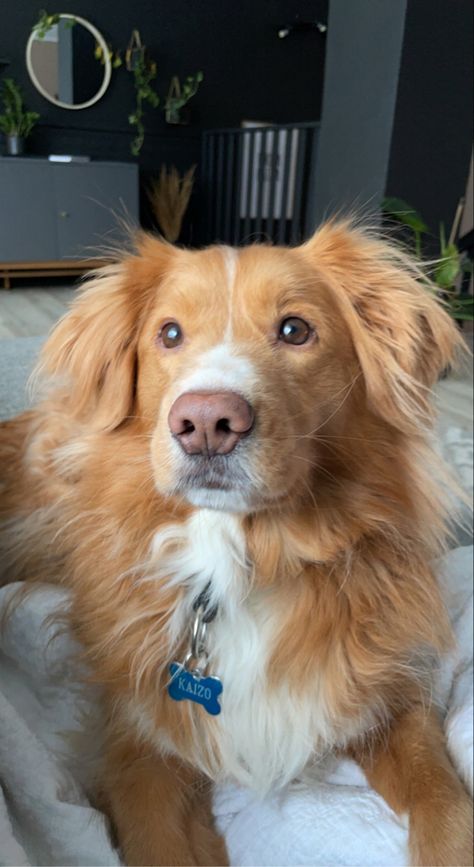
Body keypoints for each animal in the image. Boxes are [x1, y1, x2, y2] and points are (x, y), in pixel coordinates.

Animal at [0, 224, 474, 867]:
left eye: (295, 329)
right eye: (170, 333)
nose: (205, 422)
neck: (246, 559)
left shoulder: (389, 701)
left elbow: (446, 802)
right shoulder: (137, 749)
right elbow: (160, 845)